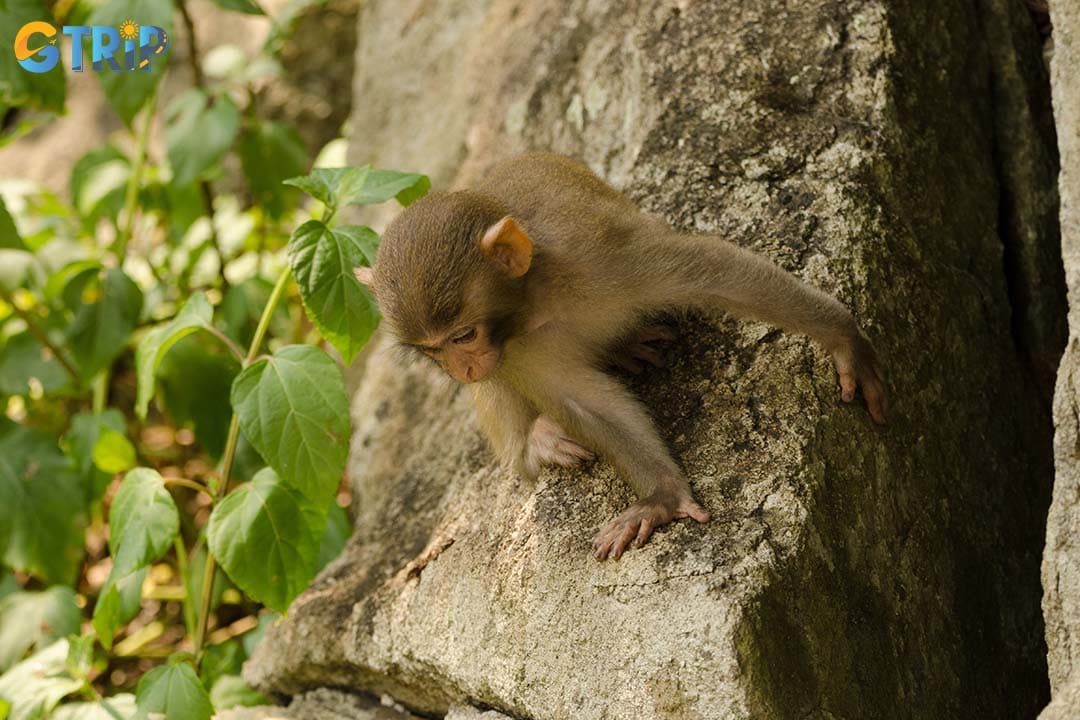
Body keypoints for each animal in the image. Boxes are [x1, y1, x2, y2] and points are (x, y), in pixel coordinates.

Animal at [354, 152, 887, 561]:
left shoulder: (598, 258)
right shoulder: (514, 355)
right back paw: (537, 441)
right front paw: (661, 497)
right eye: (431, 351)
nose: (462, 369)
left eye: (463, 335)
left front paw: (843, 336)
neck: (536, 303)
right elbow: (584, 404)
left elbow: (711, 271)